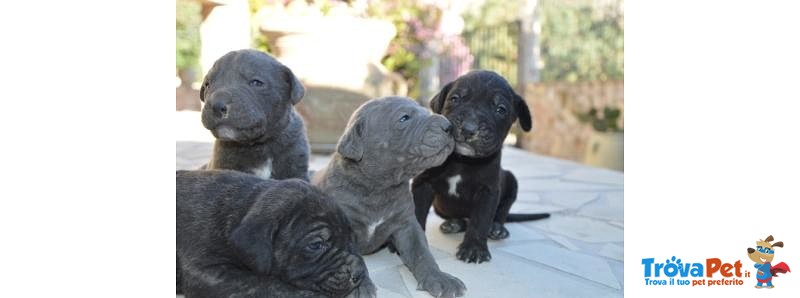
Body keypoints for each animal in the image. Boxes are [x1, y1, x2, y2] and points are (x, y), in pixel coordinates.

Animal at [176, 170, 376, 298]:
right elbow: (270, 285)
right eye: (316, 245)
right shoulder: (208, 272)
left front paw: (365, 283)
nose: (357, 274)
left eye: (351, 239)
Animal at [310, 97, 466, 298]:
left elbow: (422, 253)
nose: (449, 126)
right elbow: (354, 258)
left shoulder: (407, 225)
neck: (379, 188)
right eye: (404, 118)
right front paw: (358, 287)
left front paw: (440, 279)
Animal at [412, 70, 552, 264]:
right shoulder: (423, 183)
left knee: (501, 212)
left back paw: (498, 228)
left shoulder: (488, 190)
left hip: (511, 180)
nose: (468, 128)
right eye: (455, 99)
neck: (461, 160)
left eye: (500, 109)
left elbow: (481, 220)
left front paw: (474, 248)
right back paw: (454, 223)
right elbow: (417, 212)